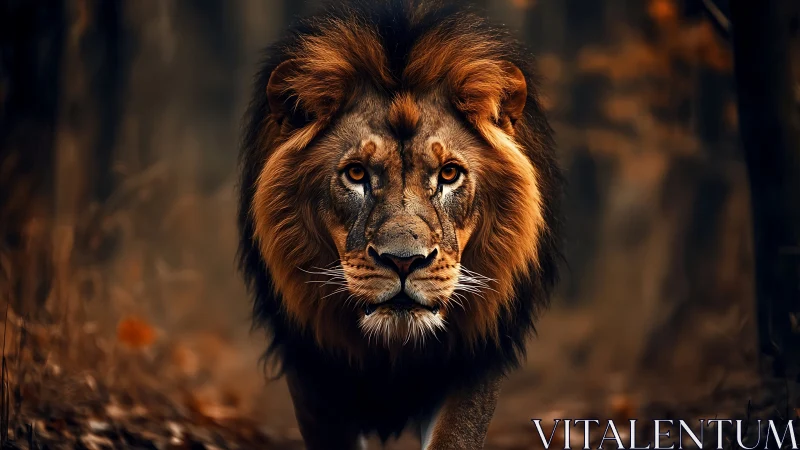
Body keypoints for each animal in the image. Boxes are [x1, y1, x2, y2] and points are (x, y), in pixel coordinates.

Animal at [238, 0, 562, 448]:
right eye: (356, 173)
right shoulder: (313, 368)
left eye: (448, 174)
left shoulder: (474, 355)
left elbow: (455, 437)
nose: (404, 262)